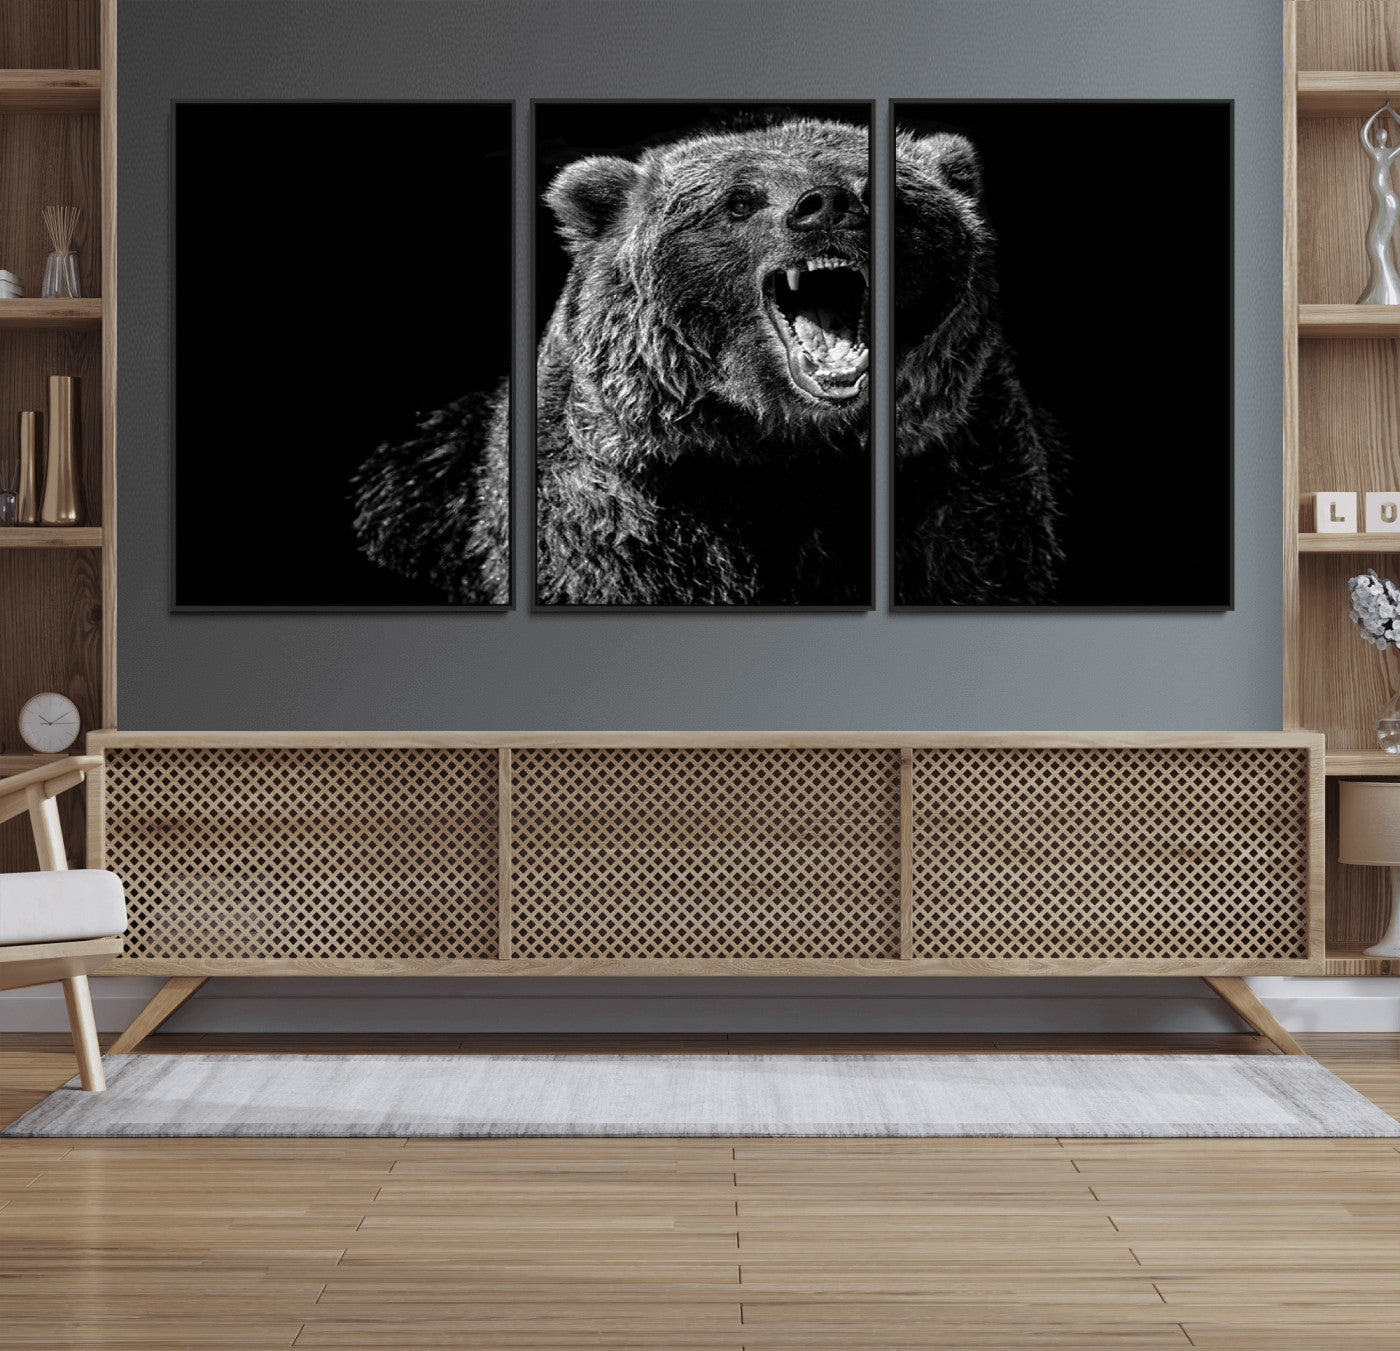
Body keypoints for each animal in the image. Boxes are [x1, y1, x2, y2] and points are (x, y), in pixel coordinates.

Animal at [351, 116, 1060, 608]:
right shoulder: (626, 499)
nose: (826, 205)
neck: (783, 444)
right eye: (739, 200)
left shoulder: (954, 475)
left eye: (884, 192)